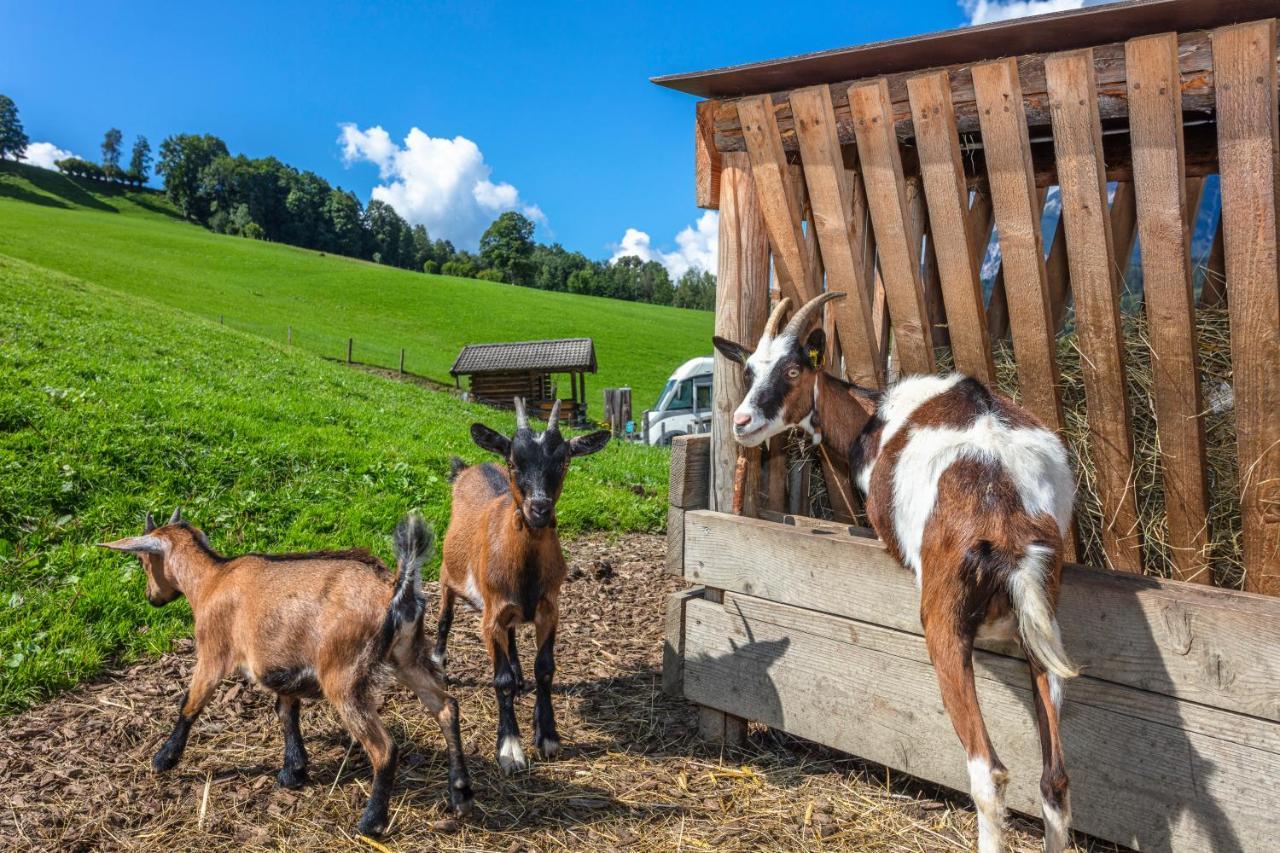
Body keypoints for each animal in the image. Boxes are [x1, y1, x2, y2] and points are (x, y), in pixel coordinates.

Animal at [98, 507, 471, 835]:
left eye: (143, 561)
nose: (152, 597)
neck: (212, 580)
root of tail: (396, 591)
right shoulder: (283, 665)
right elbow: (286, 712)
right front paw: (294, 771)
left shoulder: (213, 652)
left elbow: (191, 703)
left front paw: (164, 759)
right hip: (407, 655)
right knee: (446, 707)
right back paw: (461, 794)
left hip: (344, 675)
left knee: (384, 748)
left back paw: (371, 823)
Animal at [437, 399, 611, 768]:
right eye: (514, 461)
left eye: (563, 460)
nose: (540, 508)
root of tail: (469, 467)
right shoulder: (490, 617)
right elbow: (499, 679)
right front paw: (510, 748)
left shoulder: (548, 609)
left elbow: (544, 668)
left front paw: (547, 736)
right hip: (448, 574)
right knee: (445, 616)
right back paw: (439, 658)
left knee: (514, 634)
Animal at [716, 294, 1075, 850]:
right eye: (750, 368)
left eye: (793, 370)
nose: (742, 420)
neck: (876, 416)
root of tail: (1009, 510)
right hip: (1044, 628)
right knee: (1054, 778)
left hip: (944, 623)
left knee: (989, 774)